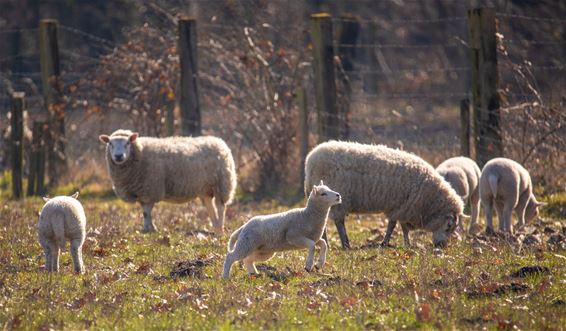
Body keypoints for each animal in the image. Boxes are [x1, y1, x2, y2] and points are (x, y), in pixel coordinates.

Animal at [100, 130, 237, 233]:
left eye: (128, 143)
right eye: (110, 143)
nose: (118, 156)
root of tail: (219, 141)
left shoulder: (150, 189)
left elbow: (147, 212)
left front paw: (149, 229)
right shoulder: (142, 191)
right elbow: (144, 211)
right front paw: (147, 228)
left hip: (222, 182)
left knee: (221, 206)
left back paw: (220, 227)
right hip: (205, 187)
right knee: (210, 205)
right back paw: (215, 225)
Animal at [306, 141, 466, 250]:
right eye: (448, 226)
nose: (442, 246)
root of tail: (310, 161)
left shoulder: (403, 207)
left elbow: (402, 227)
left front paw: (406, 243)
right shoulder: (403, 206)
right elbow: (393, 225)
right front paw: (385, 243)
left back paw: (325, 242)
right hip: (337, 198)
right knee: (339, 222)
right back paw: (345, 245)